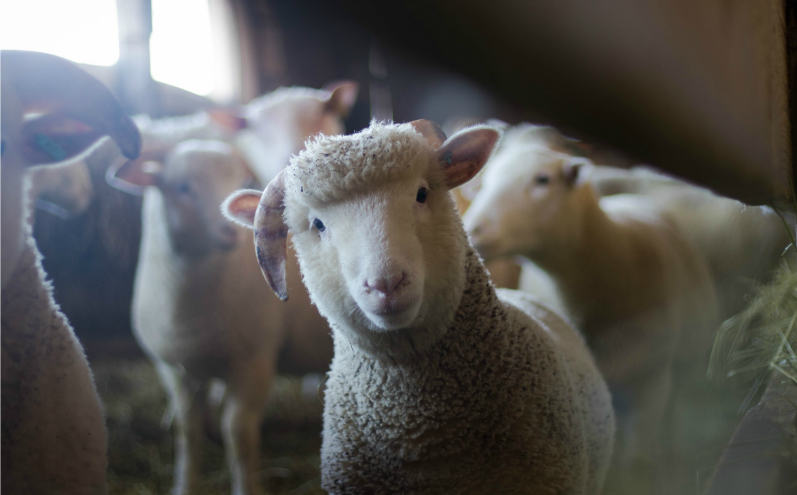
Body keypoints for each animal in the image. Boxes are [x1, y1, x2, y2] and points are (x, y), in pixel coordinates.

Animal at [109, 140, 332, 495]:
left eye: (239, 180)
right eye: (183, 187)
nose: (231, 232)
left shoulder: (255, 362)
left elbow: (237, 433)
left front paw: (246, 488)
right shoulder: (174, 369)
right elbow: (187, 430)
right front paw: (184, 485)